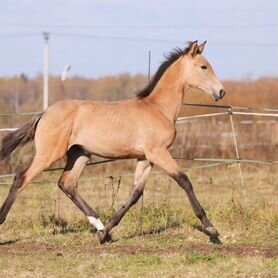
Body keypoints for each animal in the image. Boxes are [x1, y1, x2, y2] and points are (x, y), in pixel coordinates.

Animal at [0, 41, 226, 243]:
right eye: (203, 66)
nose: (221, 92)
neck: (158, 109)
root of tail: (44, 113)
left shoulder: (145, 159)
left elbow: (136, 194)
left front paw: (106, 232)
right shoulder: (158, 153)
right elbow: (184, 180)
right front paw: (211, 229)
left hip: (80, 154)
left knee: (67, 184)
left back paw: (100, 227)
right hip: (48, 154)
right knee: (21, 178)